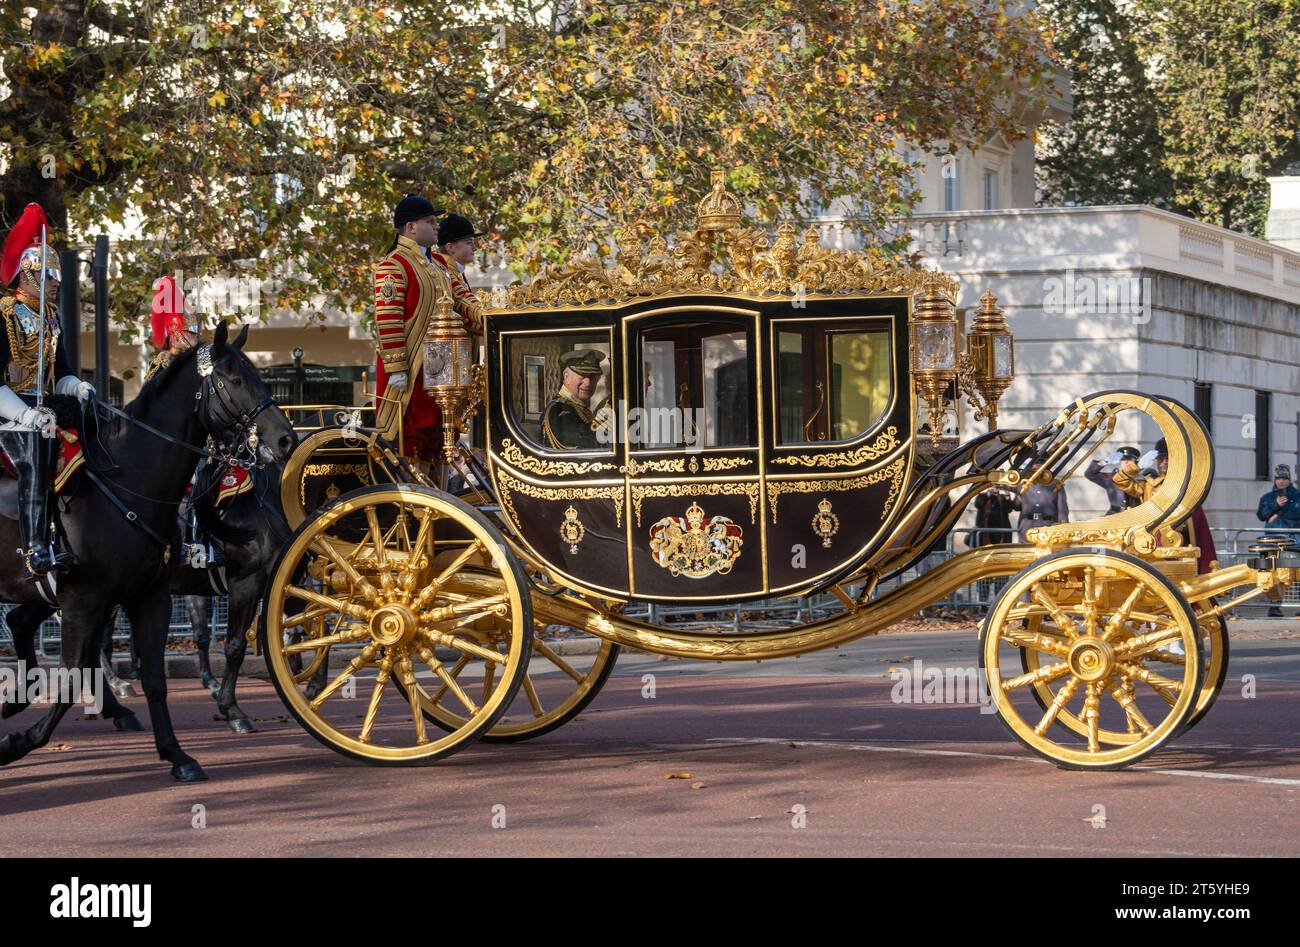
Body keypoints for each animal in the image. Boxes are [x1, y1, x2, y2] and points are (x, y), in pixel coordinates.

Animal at [0, 325, 295, 785]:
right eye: (234, 379)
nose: (285, 438)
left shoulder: (151, 596)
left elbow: (159, 678)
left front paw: (179, 755)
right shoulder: (88, 597)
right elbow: (72, 676)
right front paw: (15, 743)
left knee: (23, 623)